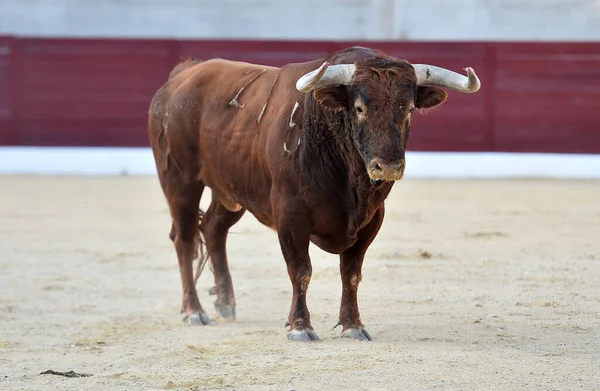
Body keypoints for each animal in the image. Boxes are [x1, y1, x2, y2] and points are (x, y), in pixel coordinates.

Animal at [148, 46, 480, 344]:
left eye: (409, 109)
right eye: (359, 108)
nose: (387, 166)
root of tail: (183, 76)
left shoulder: (372, 220)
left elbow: (351, 273)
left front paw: (353, 326)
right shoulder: (290, 216)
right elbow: (301, 271)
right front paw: (300, 327)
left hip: (231, 188)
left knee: (213, 229)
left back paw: (226, 303)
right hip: (180, 180)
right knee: (185, 238)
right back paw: (194, 311)